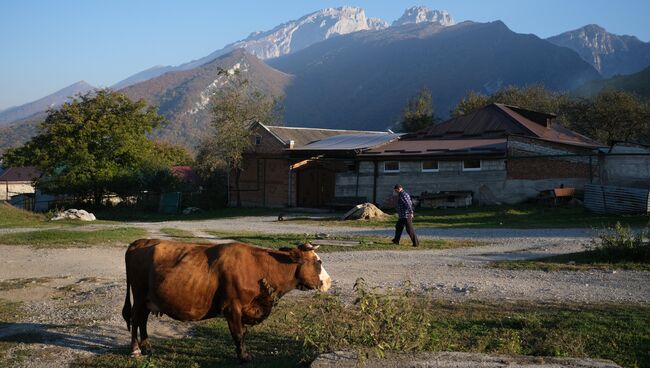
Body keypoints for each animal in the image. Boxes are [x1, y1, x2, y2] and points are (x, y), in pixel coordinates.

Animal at [120, 239, 330, 362]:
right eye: (318, 261)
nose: (329, 282)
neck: (259, 267)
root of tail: (141, 242)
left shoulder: (245, 309)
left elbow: (243, 334)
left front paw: (243, 353)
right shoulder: (232, 307)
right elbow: (237, 334)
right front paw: (244, 357)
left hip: (148, 299)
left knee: (142, 320)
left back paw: (147, 347)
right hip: (139, 296)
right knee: (135, 318)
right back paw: (135, 350)